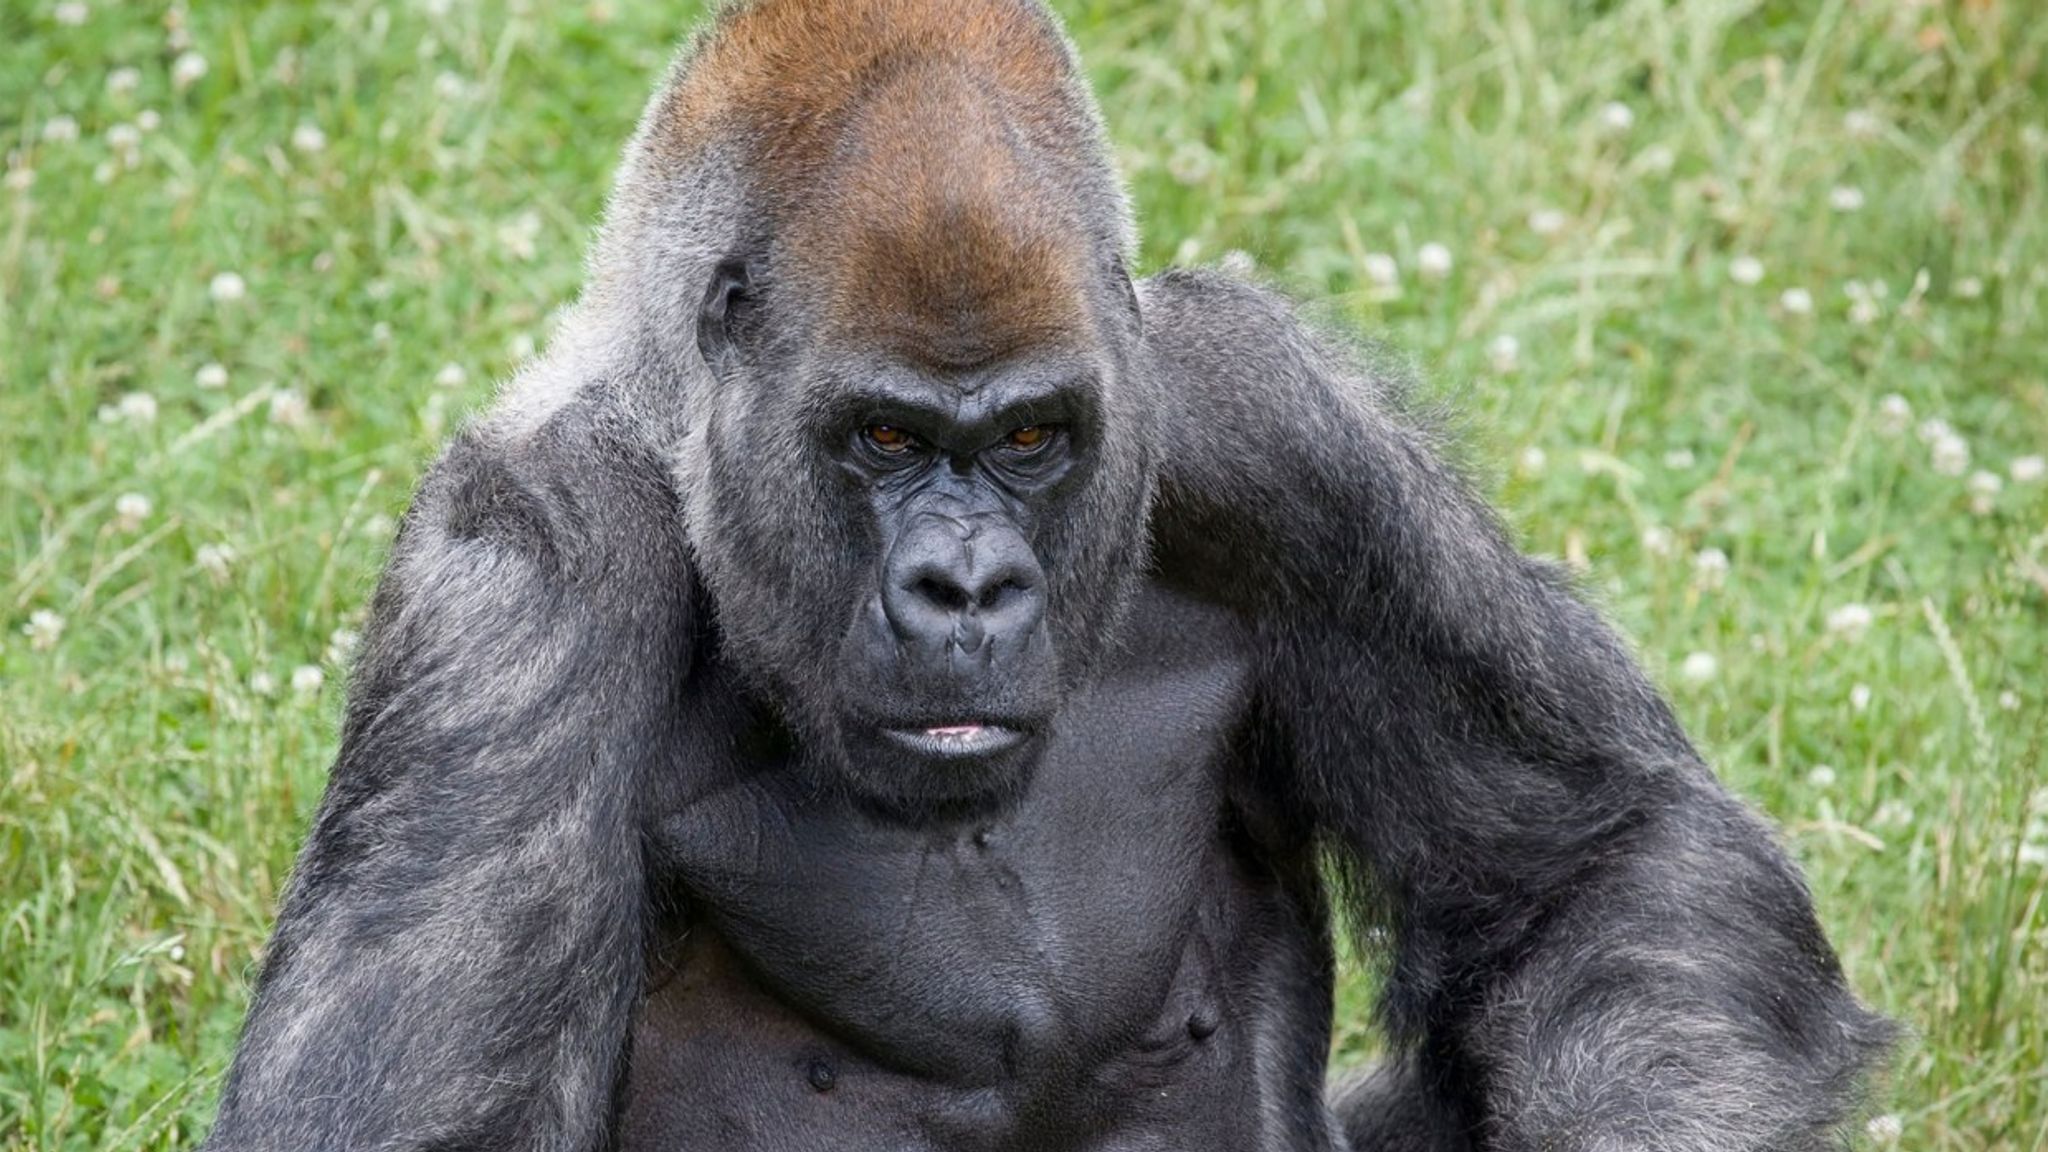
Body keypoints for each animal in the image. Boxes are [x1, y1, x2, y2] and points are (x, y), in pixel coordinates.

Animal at [200, 2, 1892, 1149]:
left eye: (1029, 439)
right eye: (884, 439)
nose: (966, 591)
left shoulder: (1271, 429)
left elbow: (1600, 861)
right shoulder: (528, 573)